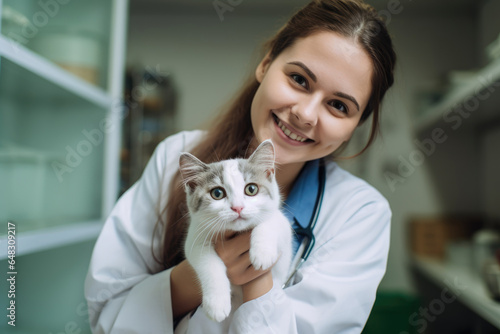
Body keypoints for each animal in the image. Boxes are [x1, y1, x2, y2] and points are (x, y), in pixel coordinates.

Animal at [179, 140, 292, 322]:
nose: (238, 207)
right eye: (217, 193)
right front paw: (217, 304)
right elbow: (207, 262)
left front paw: (262, 253)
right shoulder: (196, 236)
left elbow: (270, 223)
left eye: (251, 189)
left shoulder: (283, 224)